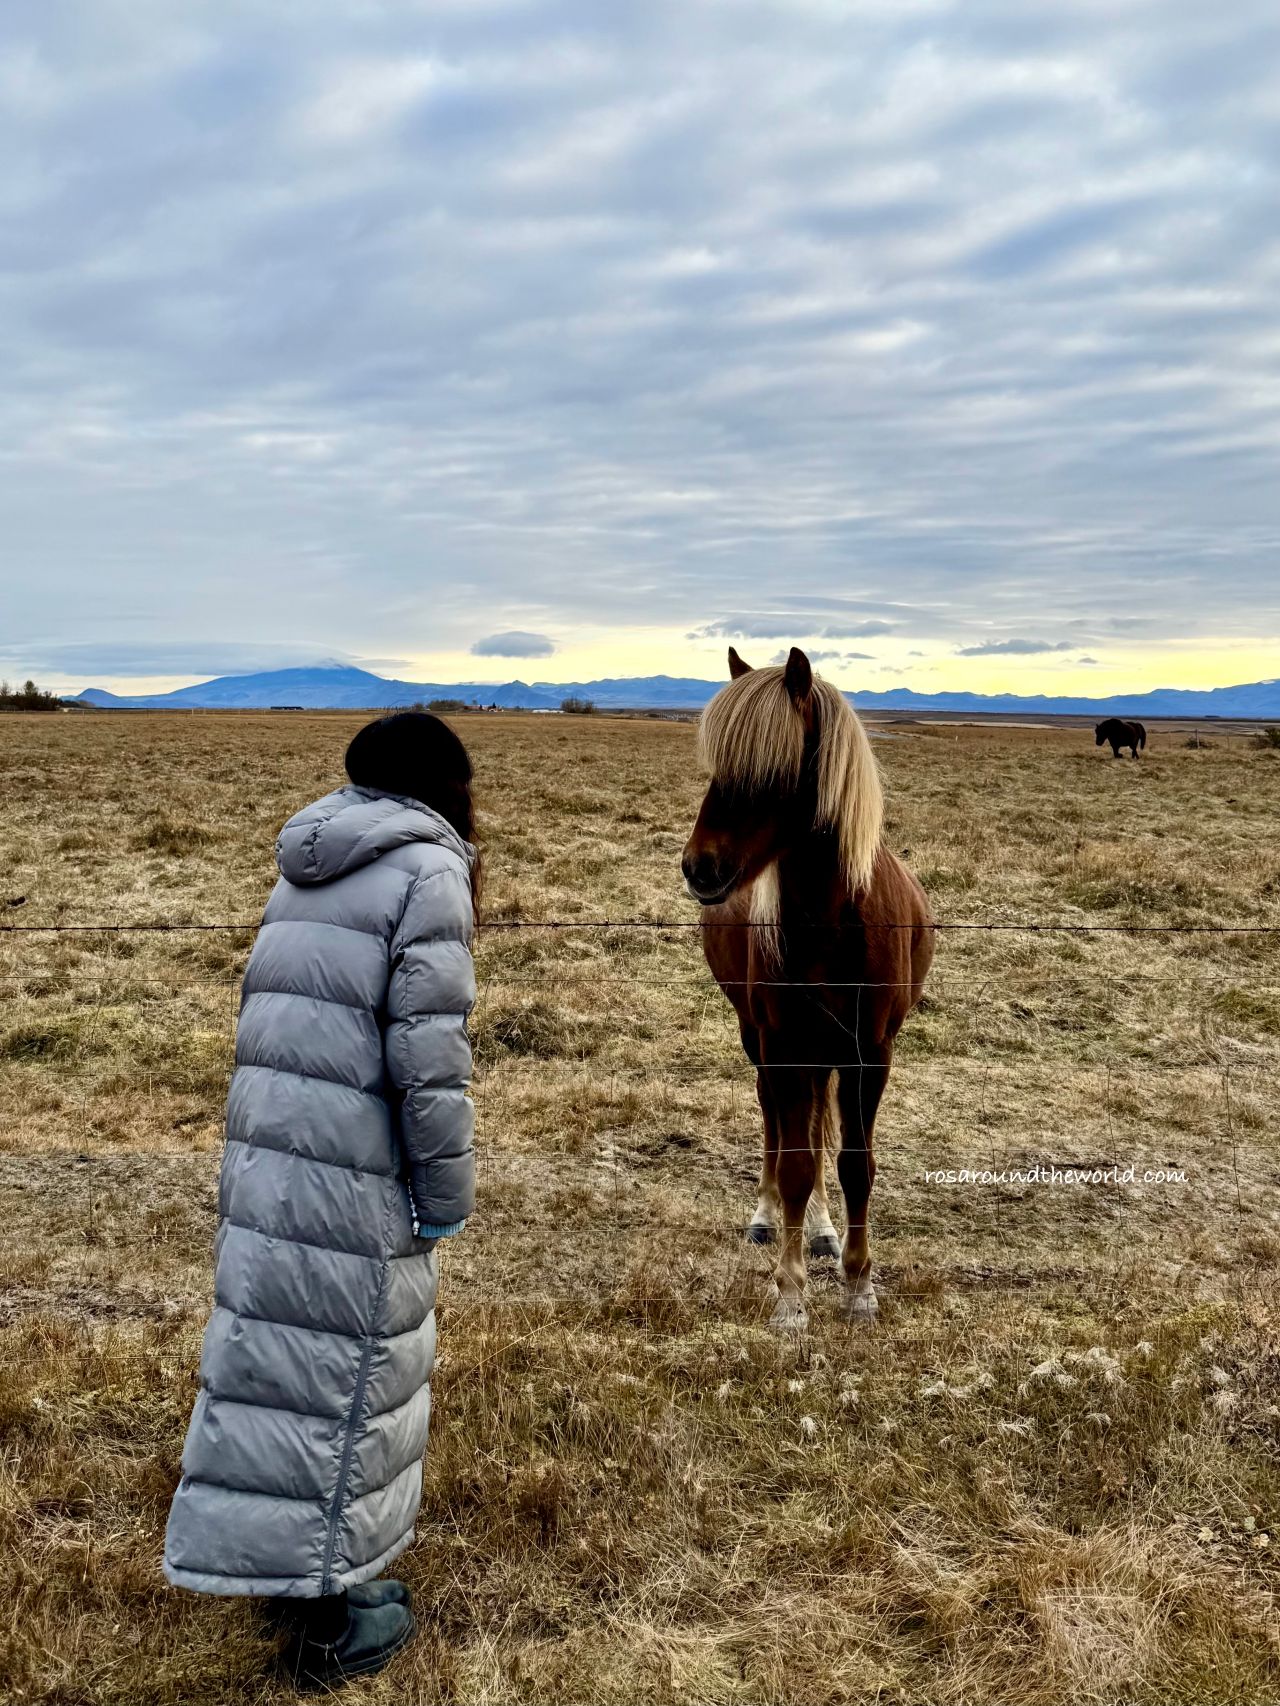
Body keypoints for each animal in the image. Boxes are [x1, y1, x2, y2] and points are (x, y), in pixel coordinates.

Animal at [681, 646, 934, 1329]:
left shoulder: (870, 1053)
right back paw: (770, 1217)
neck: (833, 921)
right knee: (775, 1119)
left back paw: (822, 1229)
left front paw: (859, 1283)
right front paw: (791, 1295)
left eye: (776, 766)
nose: (699, 867)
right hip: (761, 1040)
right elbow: (795, 1160)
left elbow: (855, 1164)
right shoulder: (785, 1045)